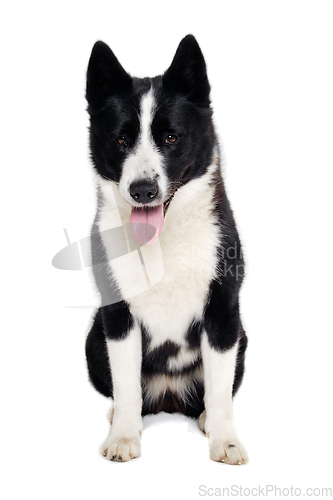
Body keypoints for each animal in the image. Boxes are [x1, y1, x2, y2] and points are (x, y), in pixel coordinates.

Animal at [84, 35, 248, 464]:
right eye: (122, 139)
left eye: (171, 137)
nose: (143, 190)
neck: (163, 241)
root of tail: (169, 399)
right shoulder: (118, 316)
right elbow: (126, 384)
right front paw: (124, 437)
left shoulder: (223, 309)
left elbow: (220, 390)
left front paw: (225, 441)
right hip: (93, 338)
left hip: (242, 336)